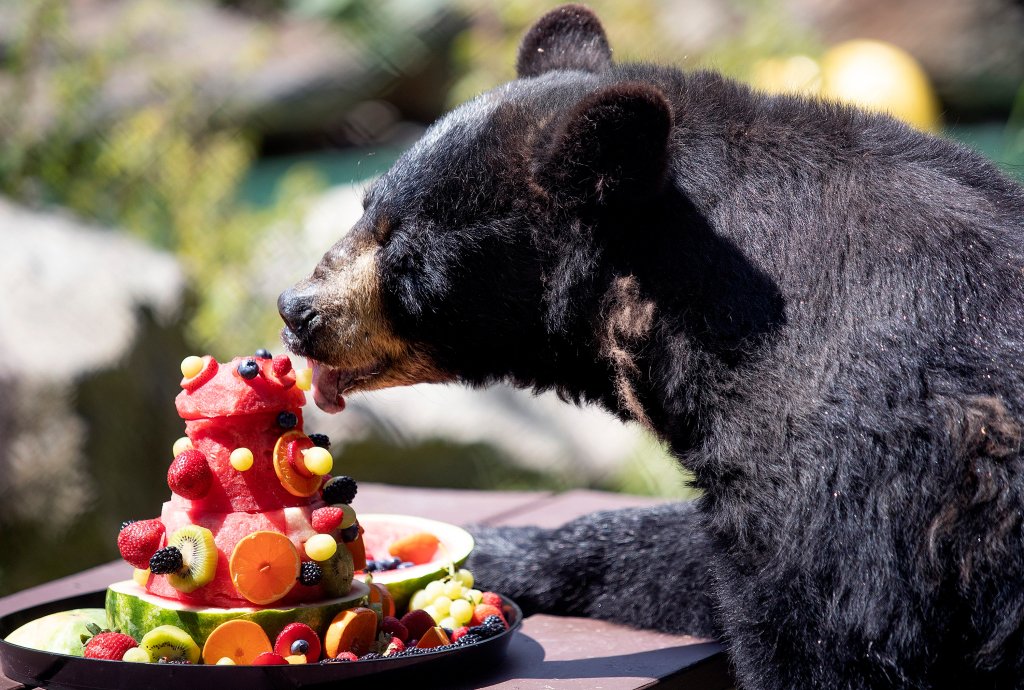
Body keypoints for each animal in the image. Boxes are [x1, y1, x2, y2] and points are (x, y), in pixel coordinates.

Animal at [278, 4, 1024, 683]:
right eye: (366, 205)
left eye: (403, 247)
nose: (297, 310)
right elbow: (695, 562)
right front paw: (503, 548)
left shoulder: (864, 476)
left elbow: (824, 628)